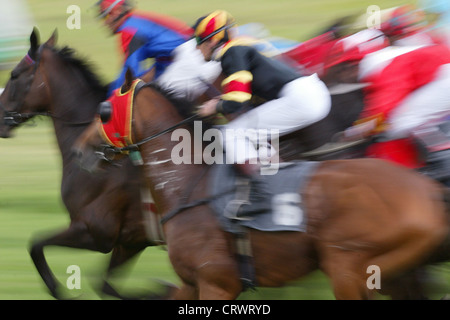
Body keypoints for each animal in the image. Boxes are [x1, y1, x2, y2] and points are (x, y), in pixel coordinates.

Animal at [0, 28, 170, 300]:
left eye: (14, 75)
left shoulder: (94, 232)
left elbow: (35, 244)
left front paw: (59, 290)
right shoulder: (131, 240)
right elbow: (105, 285)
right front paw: (161, 289)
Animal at [72, 70, 450, 300]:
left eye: (104, 109)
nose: (78, 150)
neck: (188, 185)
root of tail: (427, 190)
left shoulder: (217, 284)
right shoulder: (190, 283)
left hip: (350, 268)